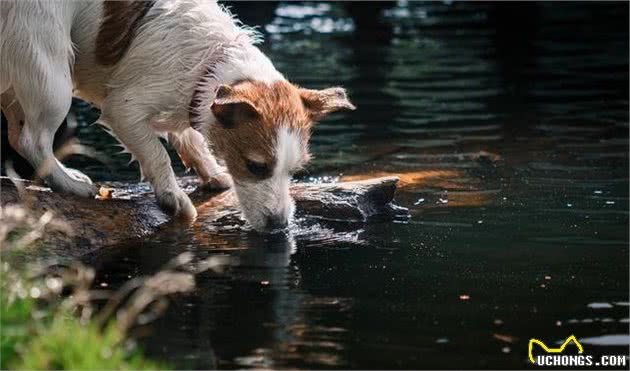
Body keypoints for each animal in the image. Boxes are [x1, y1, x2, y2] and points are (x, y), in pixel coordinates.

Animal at [0, 0, 356, 232]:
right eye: (256, 167)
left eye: (294, 171)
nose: (280, 226)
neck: (210, 62)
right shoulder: (125, 109)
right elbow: (157, 154)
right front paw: (172, 197)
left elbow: (191, 139)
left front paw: (212, 173)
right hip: (49, 68)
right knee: (32, 139)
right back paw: (69, 184)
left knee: (16, 133)